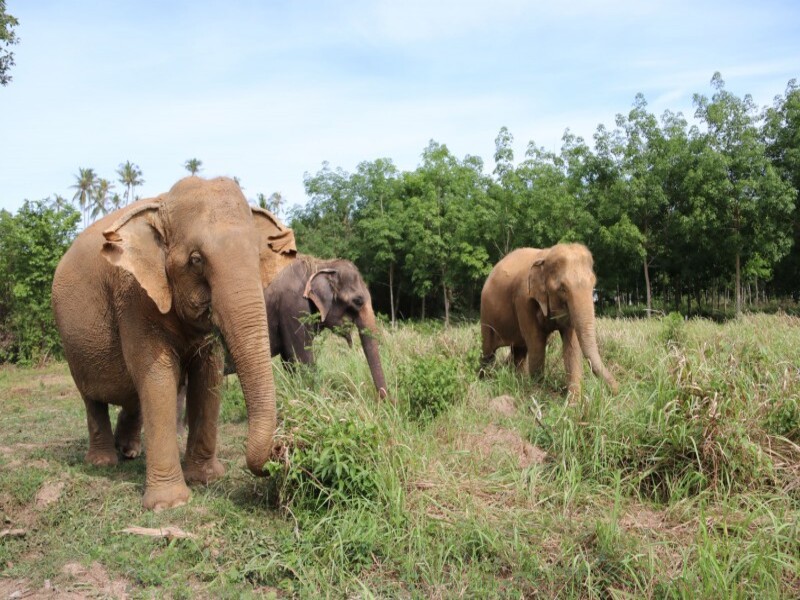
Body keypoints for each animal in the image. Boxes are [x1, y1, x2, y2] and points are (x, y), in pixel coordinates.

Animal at [51, 176, 296, 510]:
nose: (282, 450)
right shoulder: (134, 298)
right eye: (196, 260)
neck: (162, 204)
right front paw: (170, 504)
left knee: (132, 396)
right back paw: (103, 462)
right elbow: (158, 379)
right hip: (72, 345)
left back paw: (130, 452)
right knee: (93, 399)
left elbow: (207, 377)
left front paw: (206, 478)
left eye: (258, 258)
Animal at [263, 255, 388, 398]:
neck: (322, 264)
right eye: (358, 301)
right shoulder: (293, 308)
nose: (387, 401)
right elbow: (301, 359)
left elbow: (288, 361)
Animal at [479, 243, 618, 395]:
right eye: (562, 289)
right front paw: (539, 393)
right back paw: (483, 380)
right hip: (486, 314)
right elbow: (537, 342)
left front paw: (573, 400)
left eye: (593, 284)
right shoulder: (523, 300)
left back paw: (518, 379)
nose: (618, 390)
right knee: (488, 352)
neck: (546, 255)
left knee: (519, 351)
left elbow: (572, 346)